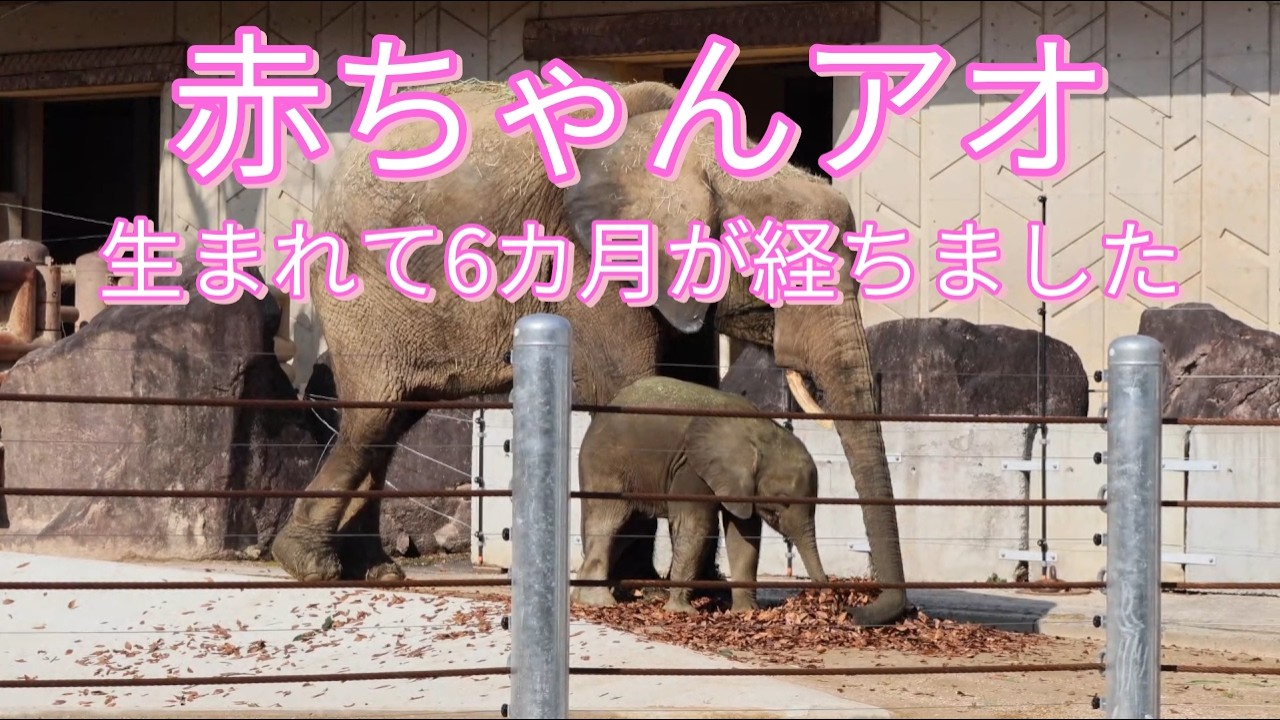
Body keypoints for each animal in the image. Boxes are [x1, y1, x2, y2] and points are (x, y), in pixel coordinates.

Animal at [572, 375, 828, 614]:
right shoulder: (692, 467)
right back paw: (598, 600)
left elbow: (744, 535)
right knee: (608, 523)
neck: (761, 430)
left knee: (630, 530)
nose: (825, 594)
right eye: (781, 504)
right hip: (607, 467)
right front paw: (682, 611)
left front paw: (745, 612)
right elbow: (697, 526)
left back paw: (580, 596)